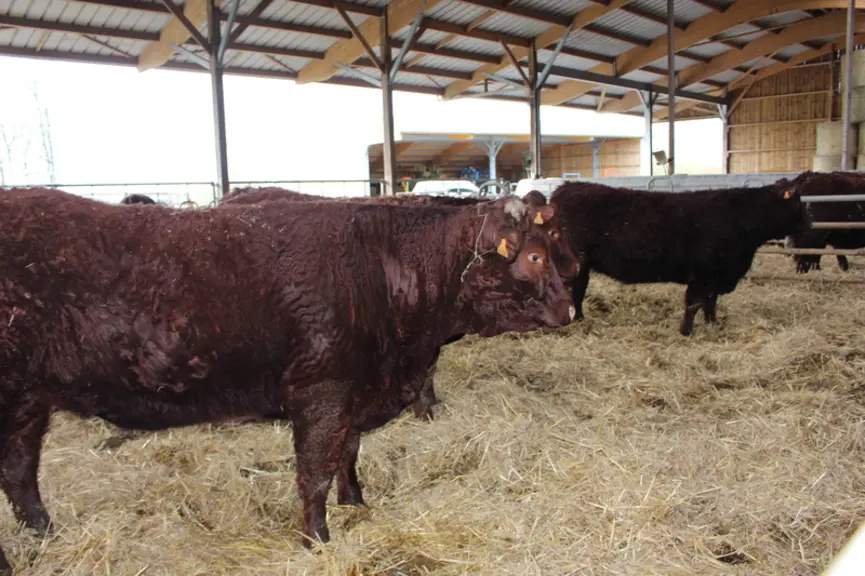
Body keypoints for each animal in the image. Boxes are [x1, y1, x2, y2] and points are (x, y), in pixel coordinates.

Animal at [550, 180, 809, 336]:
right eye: (798, 204)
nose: (809, 223)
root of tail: (567, 187)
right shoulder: (703, 273)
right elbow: (694, 303)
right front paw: (686, 331)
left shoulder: (715, 276)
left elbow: (710, 302)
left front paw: (712, 324)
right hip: (575, 263)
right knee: (573, 291)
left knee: (577, 292)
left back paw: (580, 319)